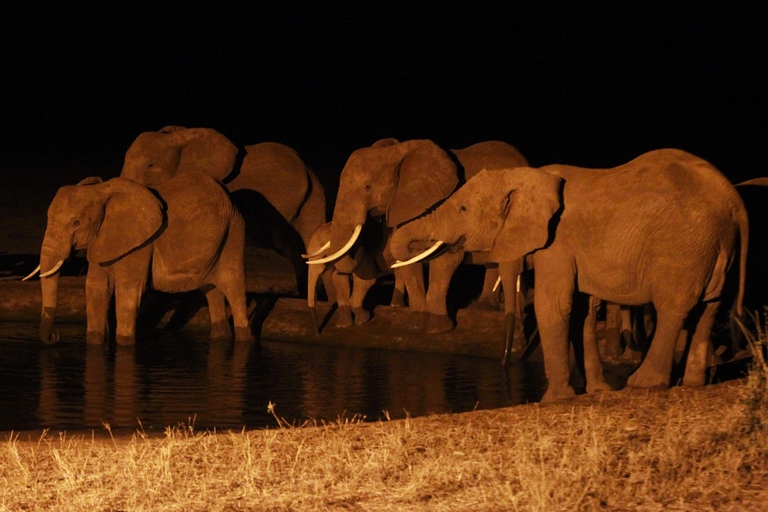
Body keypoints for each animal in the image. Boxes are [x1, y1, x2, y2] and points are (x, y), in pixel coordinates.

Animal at [24, 172, 253, 345]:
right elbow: (97, 289)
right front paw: (95, 342)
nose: (55, 337)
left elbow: (128, 292)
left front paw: (124, 344)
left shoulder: (141, 243)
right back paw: (220, 338)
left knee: (233, 287)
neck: (102, 192)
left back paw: (244, 339)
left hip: (233, 235)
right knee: (212, 290)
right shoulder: (102, 240)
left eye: (76, 222)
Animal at [308, 139, 529, 343]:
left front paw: (437, 329)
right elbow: (409, 261)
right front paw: (415, 324)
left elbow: (445, 261)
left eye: (368, 187)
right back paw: (483, 308)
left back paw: (483, 310)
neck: (396, 153)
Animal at [389, 149, 748, 401]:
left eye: (463, 209)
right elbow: (582, 311)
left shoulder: (557, 242)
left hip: (684, 246)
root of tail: (735, 202)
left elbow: (554, 305)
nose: (506, 365)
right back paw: (692, 384)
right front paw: (598, 392)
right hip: (713, 245)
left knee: (674, 308)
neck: (524, 177)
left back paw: (645, 384)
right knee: (710, 307)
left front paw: (553, 399)